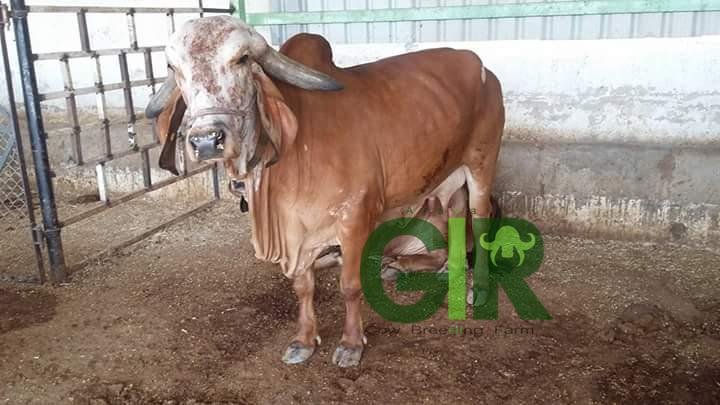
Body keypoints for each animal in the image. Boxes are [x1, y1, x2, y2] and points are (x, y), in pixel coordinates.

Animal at [146, 15, 505, 367]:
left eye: (242, 58)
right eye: (173, 67)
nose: (207, 140)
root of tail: (481, 66)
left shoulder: (356, 217)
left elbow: (350, 286)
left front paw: (351, 343)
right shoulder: (296, 231)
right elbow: (303, 286)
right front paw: (304, 340)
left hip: (481, 164)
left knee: (480, 222)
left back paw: (477, 288)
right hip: (450, 179)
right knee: (455, 216)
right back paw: (439, 269)